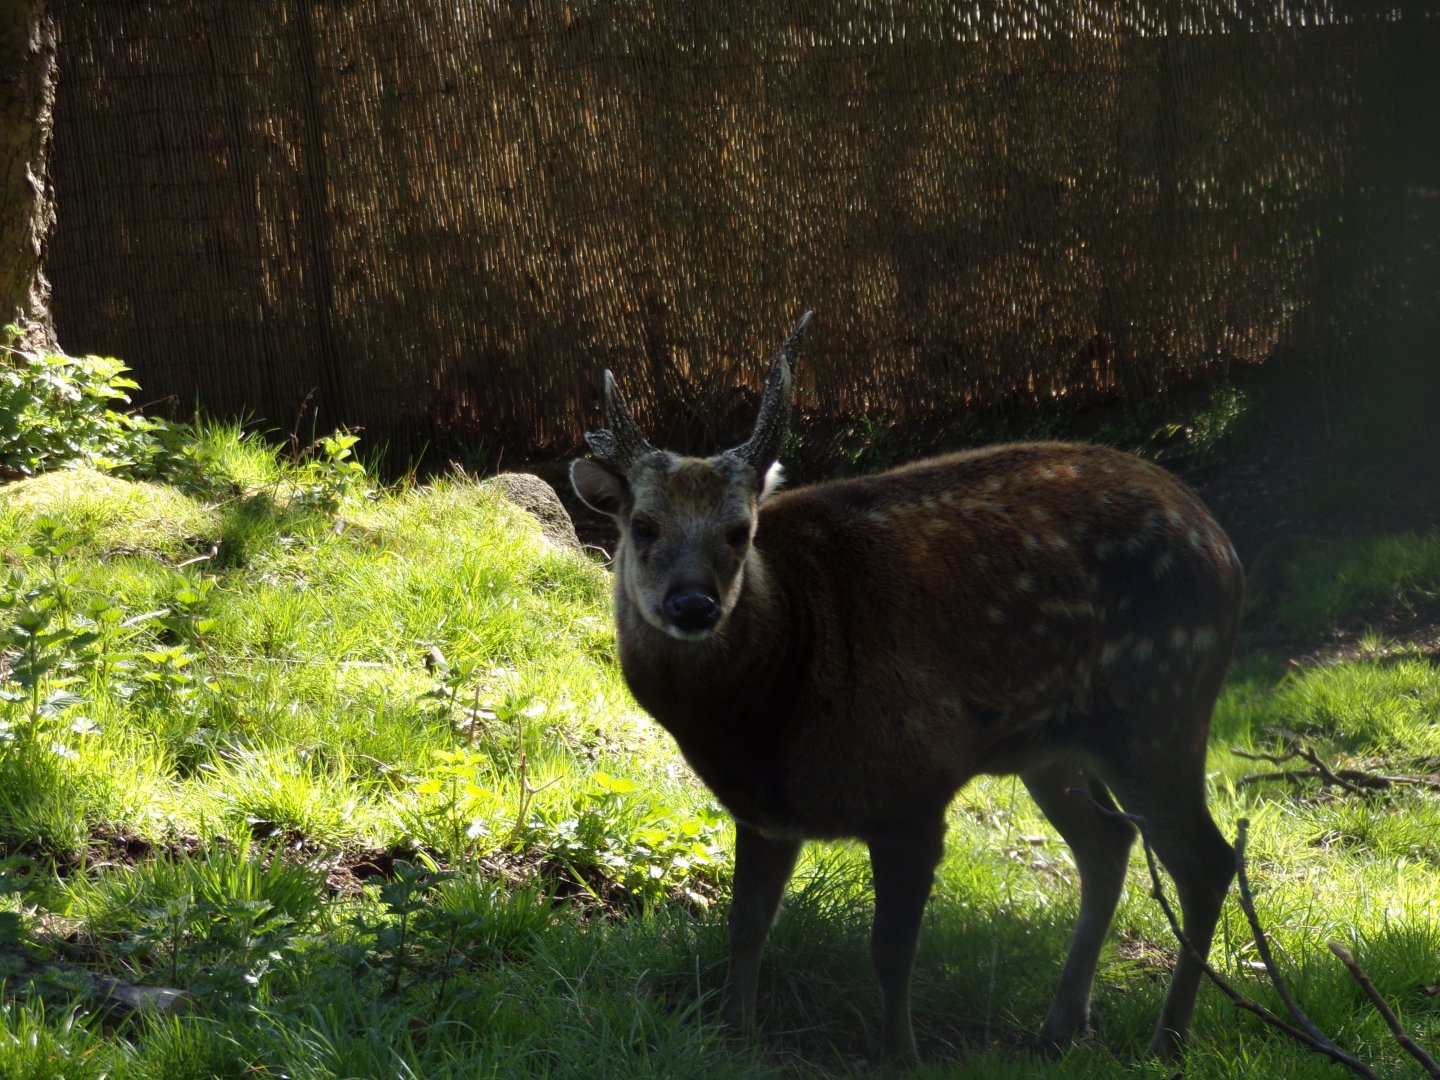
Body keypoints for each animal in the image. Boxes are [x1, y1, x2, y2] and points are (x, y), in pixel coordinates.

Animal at [569, 312, 1245, 1061]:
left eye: (739, 531)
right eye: (643, 525)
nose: (693, 605)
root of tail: (1225, 546)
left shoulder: (915, 786)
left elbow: (890, 953)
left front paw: (901, 1054)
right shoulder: (764, 811)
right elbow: (746, 927)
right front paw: (732, 1034)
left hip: (1160, 706)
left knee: (1207, 861)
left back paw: (1168, 1041)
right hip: (1055, 747)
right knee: (1111, 844)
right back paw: (1061, 1027)